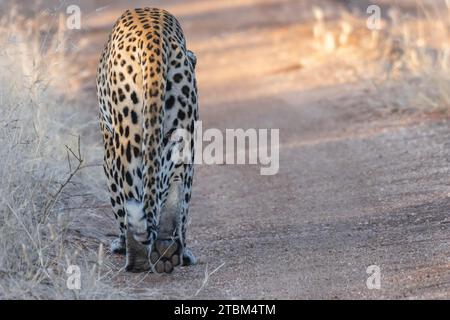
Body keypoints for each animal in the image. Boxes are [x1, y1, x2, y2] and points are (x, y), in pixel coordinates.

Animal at [96, 6, 198, 272]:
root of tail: (153, 36)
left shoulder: (108, 147)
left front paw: (119, 243)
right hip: (183, 133)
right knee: (178, 189)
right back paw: (173, 249)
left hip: (127, 138)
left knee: (131, 192)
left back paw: (137, 258)